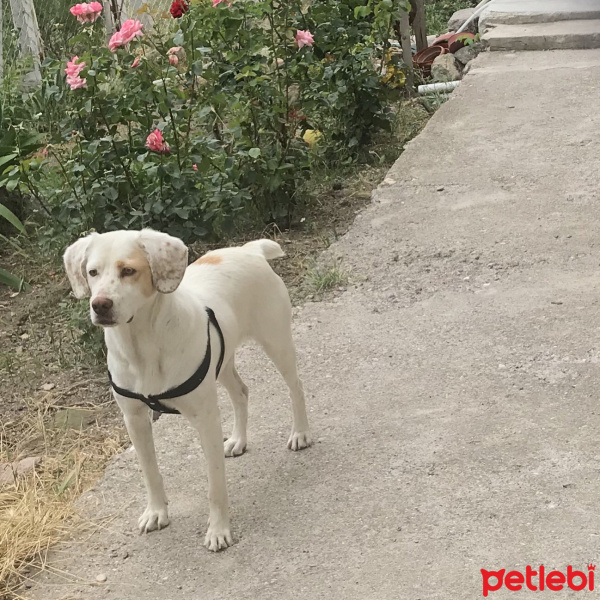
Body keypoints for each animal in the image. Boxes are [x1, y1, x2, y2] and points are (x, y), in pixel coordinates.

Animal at [63, 231, 312, 552]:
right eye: (92, 272)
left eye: (128, 270)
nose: (100, 305)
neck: (141, 346)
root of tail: (249, 251)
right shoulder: (134, 420)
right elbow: (150, 473)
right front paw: (156, 512)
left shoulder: (205, 420)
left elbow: (215, 485)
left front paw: (218, 530)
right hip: (223, 362)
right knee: (241, 392)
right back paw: (238, 440)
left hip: (276, 342)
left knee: (295, 387)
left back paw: (300, 433)